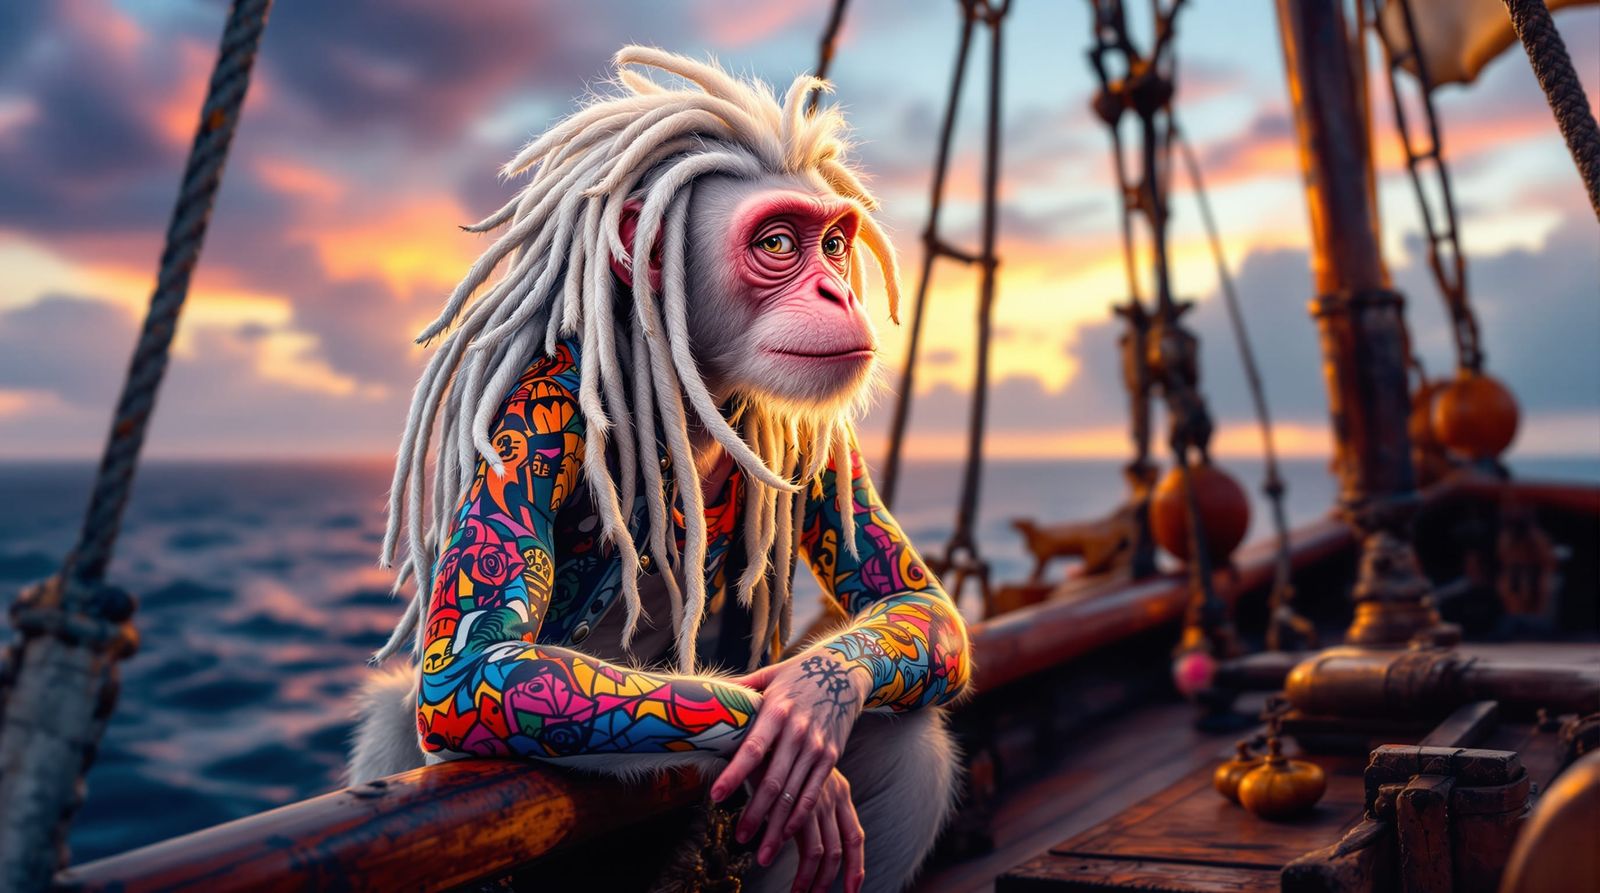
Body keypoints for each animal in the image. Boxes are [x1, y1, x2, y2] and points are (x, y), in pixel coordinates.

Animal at [348, 48, 972, 893]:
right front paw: (776, 714)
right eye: (780, 244)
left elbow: (913, 598)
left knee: (911, 741)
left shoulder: (817, 430)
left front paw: (818, 688)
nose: (837, 290)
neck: (685, 391)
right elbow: (471, 671)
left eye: (836, 246)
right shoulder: (538, 407)